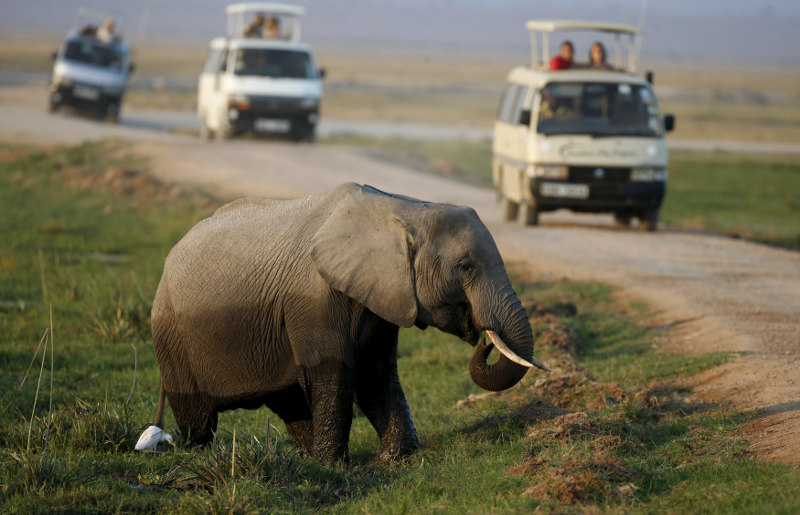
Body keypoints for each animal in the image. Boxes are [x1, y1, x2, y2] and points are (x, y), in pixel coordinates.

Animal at [144, 182, 548, 463]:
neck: (403, 208)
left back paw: (304, 461)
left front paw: (393, 460)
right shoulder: (316, 301)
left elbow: (376, 374)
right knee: (197, 417)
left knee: (290, 402)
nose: (485, 341)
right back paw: (200, 457)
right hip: (171, 335)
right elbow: (334, 376)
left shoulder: (381, 297)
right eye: (465, 267)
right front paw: (333, 467)